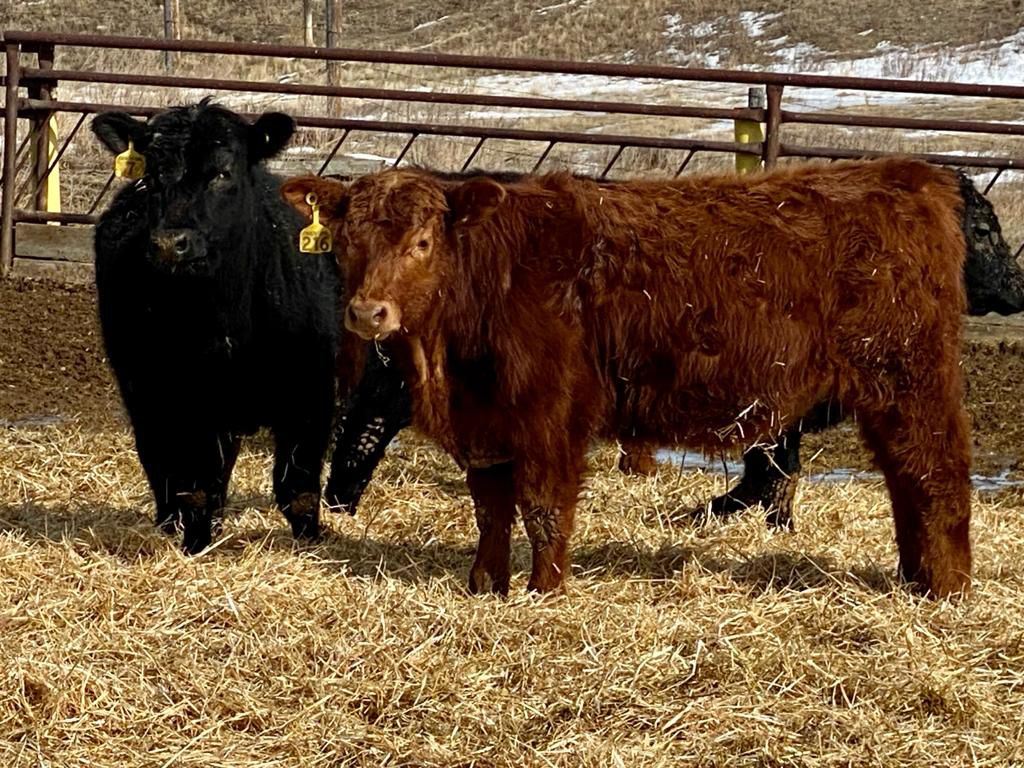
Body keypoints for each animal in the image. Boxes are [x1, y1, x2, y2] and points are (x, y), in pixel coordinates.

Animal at [282, 159, 973, 598]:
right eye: (345, 241)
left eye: (423, 242)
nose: (367, 312)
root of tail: (909, 176)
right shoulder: (488, 423)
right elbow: (490, 509)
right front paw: (484, 587)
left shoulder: (549, 413)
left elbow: (542, 506)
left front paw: (544, 591)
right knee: (907, 482)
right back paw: (914, 578)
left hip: (910, 381)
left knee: (934, 475)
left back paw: (945, 588)